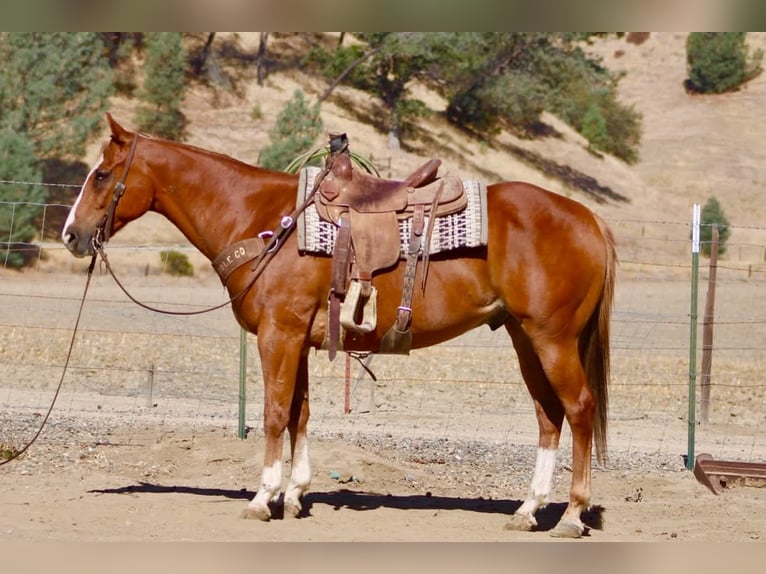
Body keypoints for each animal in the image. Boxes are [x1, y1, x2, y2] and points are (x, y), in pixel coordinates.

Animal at [61, 113, 616, 538]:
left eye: (103, 175)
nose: (71, 234)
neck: (261, 219)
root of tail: (588, 217)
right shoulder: (299, 339)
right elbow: (300, 415)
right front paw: (294, 495)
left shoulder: (278, 335)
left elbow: (274, 413)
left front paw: (263, 497)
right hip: (525, 337)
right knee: (548, 415)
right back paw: (528, 510)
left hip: (552, 339)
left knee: (579, 408)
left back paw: (571, 515)